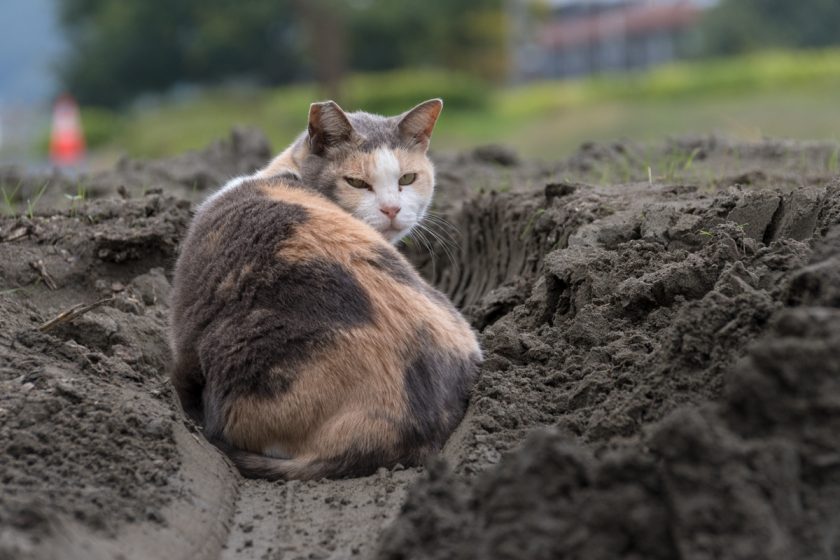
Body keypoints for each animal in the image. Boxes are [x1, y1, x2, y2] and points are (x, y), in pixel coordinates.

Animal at [169, 98, 480, 480]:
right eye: (357, 182)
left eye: (407, 179)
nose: (391, 209)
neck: (282, 173)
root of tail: (410, 429)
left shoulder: (185, 327)